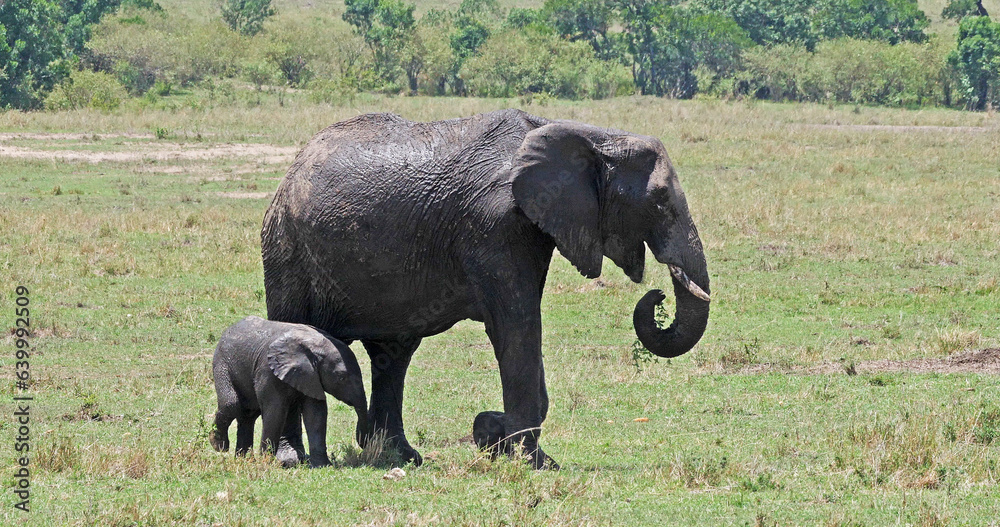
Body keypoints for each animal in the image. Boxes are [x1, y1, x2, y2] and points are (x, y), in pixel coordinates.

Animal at [209, 316, 369, 468]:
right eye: (341, 378)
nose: (362, 443)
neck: (315, 346)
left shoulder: (312, 377)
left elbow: (315, 414)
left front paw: (323, 466)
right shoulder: (268, 371)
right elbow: (276, 412)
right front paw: (267, 463)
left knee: (248, 415)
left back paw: (245, 460)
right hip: (222, 363)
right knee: (231, 404)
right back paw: (219, 445)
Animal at [261, 109, 711, 468]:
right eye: (659, 199)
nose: (658, 296)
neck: (586, 134)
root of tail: (290, 172)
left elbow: (521, 328)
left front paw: (495, 436)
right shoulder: (494, 225)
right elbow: (516, 325)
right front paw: (534, 462)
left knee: (394, 353)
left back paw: (399, 456)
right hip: (286, 248)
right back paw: (292, 459)